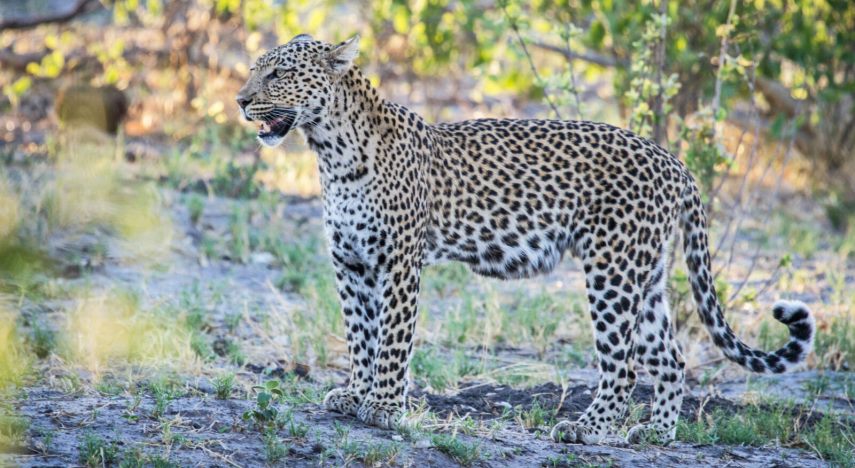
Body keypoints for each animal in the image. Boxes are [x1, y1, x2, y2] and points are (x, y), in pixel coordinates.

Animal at [234, 34, 816, 444]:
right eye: (254, 69)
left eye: (279, 73)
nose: (240, 101)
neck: (329, 150)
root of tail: (675, 162)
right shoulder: (350, 262)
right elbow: (360, 335)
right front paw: (354, 395)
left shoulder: (399, 262)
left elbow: (392, 339)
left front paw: (383, 407)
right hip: (644, 275)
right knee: (670, 358)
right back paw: (654, 433)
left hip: (611, 269)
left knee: (623, 362)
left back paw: (589, 429)